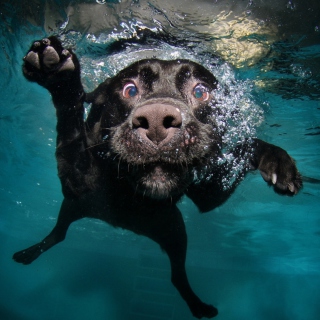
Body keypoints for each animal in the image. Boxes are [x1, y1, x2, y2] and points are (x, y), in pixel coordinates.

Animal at [13, 36, 302, 318]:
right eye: (130, 90)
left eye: (201, 91)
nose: (155, 121)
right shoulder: (77, 181)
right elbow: (70, 127)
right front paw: (59, 76)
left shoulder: (209, 194)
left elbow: (246, 146)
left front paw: (277, 161)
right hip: (74, 207)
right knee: (59, 234)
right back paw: (28, 253)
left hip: (174, 231)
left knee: (177, 276)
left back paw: (198, 306)